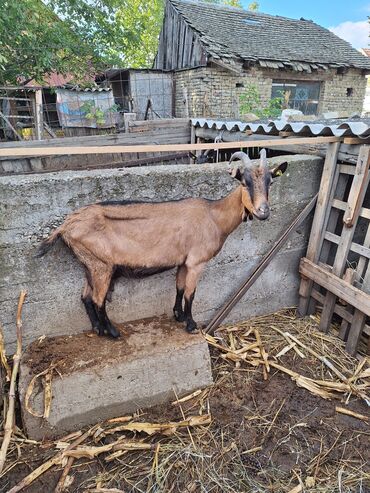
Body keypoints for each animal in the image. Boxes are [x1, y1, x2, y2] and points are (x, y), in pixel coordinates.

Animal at [36, 148, 286, 336]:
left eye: (270, 182)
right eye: (244, 182)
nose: (263, 212)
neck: (214, 215)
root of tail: (66, 225)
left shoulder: (184, 261)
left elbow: (179, 288)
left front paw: (178, 315)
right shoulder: (197, 262)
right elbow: (191, 293)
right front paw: (191, 324)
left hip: (90, 263)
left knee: (86, 297)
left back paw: (98, 329)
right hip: (102, 265)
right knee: (98, 299)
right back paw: (113, 332)